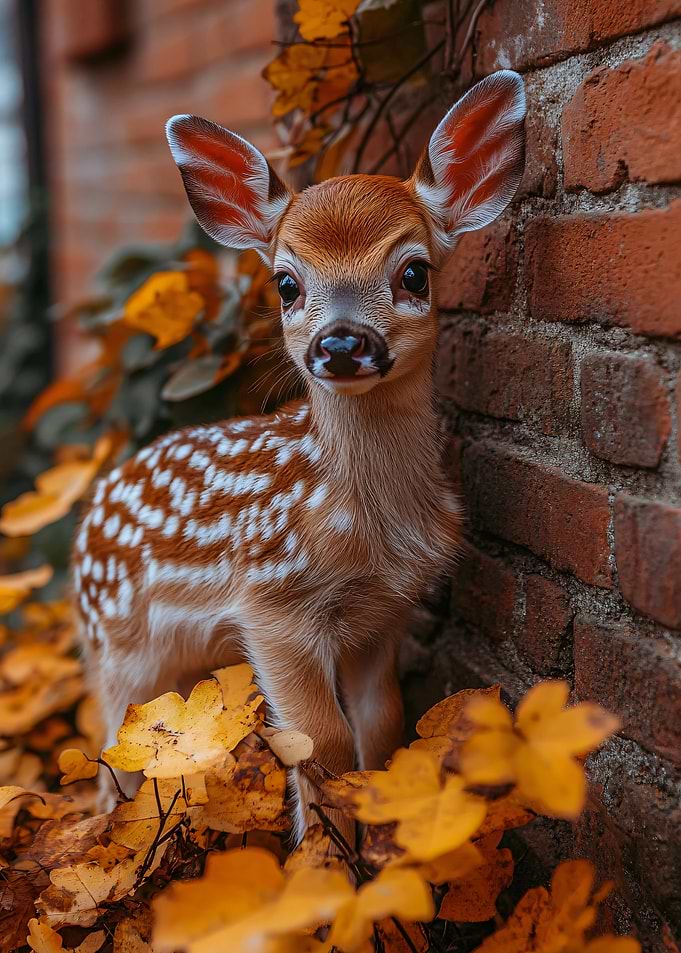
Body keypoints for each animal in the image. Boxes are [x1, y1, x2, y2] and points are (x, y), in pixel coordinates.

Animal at [72, 69, 526, 845]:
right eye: (286, 283)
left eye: (415, 274)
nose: (342, 343)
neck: (365, 520)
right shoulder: (270, 602)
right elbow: (321, 738)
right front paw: (319, 858)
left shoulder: (385, 609)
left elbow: (381, 723)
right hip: (119, 642)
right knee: (113, 747)